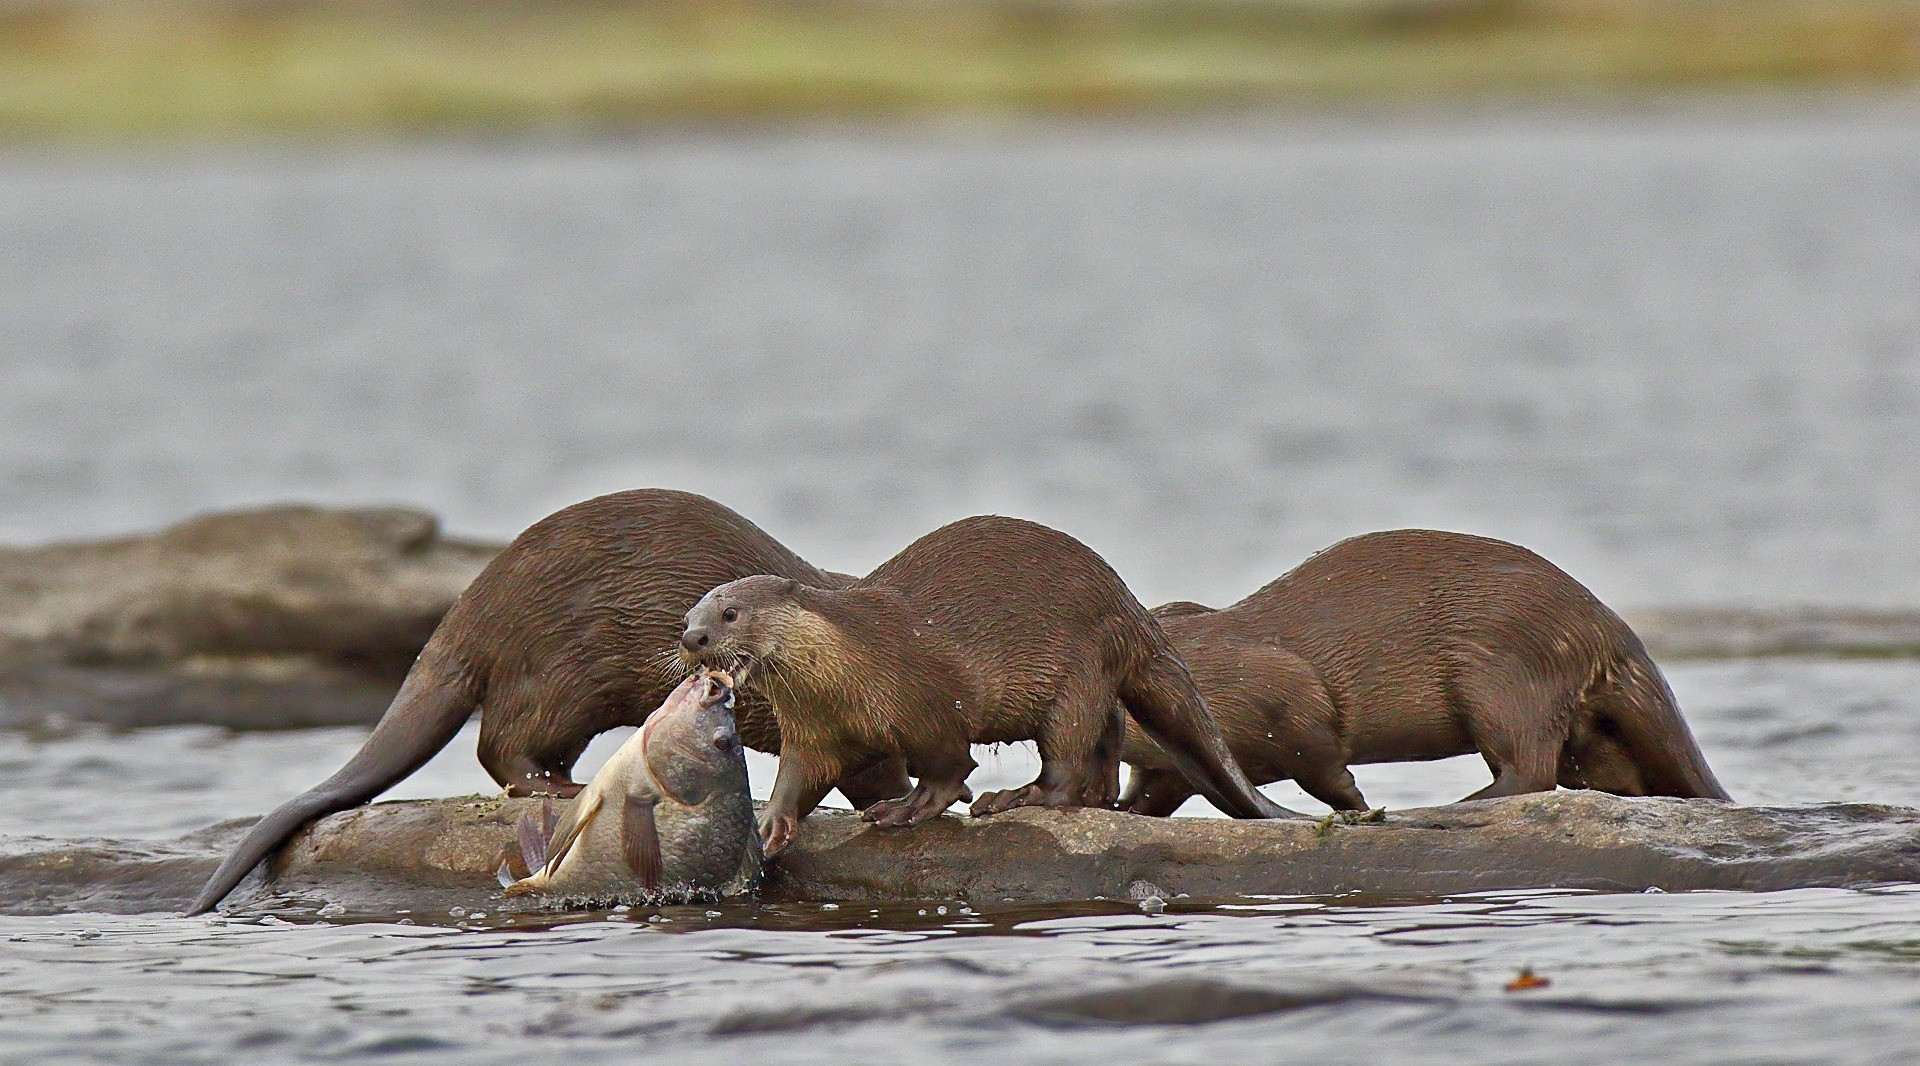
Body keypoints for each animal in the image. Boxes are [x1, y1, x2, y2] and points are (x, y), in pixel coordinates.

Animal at [679, 515, 1292, 855]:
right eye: (689, 614)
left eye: (730, 613)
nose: (692, 638)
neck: (850, 663)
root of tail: (1130, 607)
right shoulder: (813, 729)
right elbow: (799, 776)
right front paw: (770, 823)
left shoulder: (928, 698)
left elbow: (950, 765)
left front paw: (910, 807)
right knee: (1108, 727)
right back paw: (1099, 796)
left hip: (1076, 670)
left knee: (1065, 761)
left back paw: (1017, 797)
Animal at [1117, 529, 1732, 815]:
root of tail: (1605, 628)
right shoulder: (1170, 760)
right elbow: (1155, 788)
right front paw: (1119, 807)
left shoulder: (1279, 694)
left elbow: (1323, 764)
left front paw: (1359, 809)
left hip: (1502, 671)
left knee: (1529, 768)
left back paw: (1454, 806)